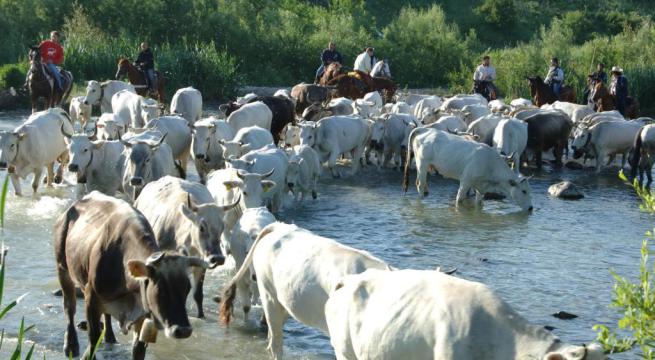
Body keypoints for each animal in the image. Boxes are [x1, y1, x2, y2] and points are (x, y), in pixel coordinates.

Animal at [54, 191, 209, 360]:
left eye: (187, 288)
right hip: (63, 269)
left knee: (106, 315)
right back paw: (71, 345)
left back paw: (109, 336)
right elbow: (93, 341)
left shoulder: (141, 315)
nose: (183, 330)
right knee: (69, 308)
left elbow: (138, 349)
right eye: (161, 289)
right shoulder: (91, 298)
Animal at [133, 176, 238, 318]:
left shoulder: (201, 265)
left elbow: (197, 294)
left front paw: (200, 315)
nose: (218, 258)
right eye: (201, 227)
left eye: (222, 227)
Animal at [404, 127, 532, 212]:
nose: (531, 208)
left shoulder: (480, 188)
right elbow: (459, 200)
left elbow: (479, 203)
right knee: (420, 185)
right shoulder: (465, 181)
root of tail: (425, 129)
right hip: (422, 164)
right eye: (524, 191)